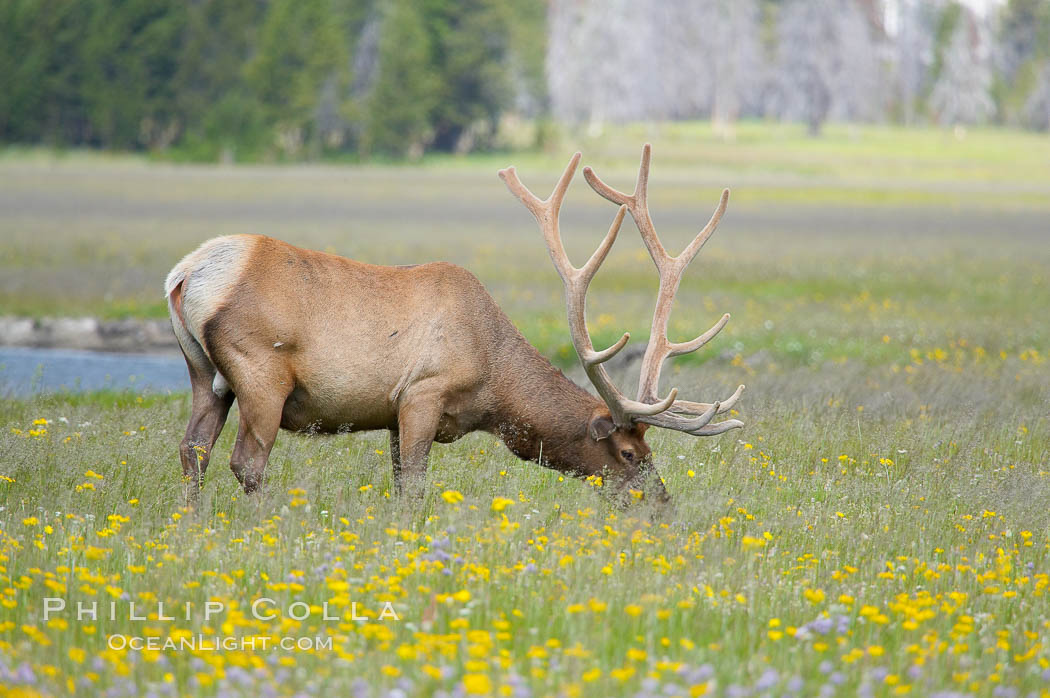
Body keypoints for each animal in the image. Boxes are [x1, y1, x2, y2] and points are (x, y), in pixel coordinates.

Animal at [164, 143, 744, 509]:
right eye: (629, 453)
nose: (662, 504)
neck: (492, 387)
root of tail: (187, 273)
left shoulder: (393, 415)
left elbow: (400, 481)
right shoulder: (422, 392)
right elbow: (414, 489)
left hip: (203, 372)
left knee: (193, 450)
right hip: (261, 374)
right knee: (246, 461)